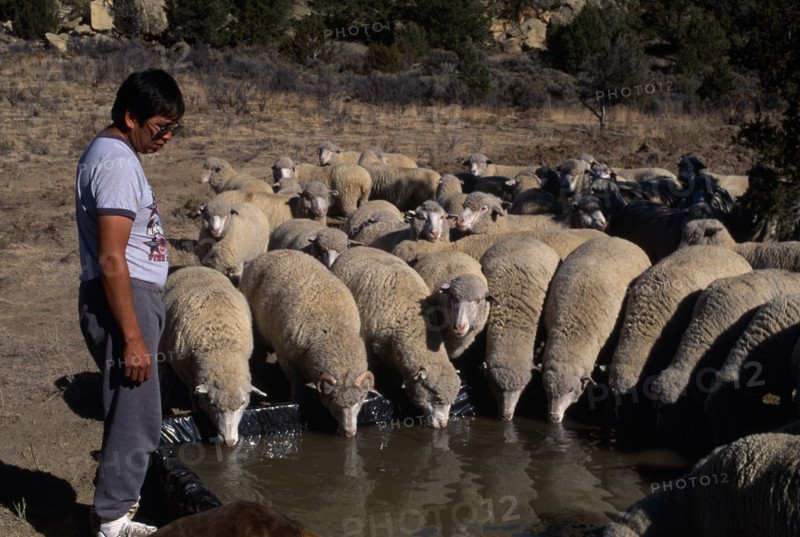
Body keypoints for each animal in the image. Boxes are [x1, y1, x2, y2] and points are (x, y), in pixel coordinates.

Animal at [160, 266, 266, 447]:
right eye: (213, 404)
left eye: (243, 403)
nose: (229, 441)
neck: (221, 351)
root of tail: (193, 267)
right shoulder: (187, 375)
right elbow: (194, 397)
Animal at [239, 250, 373, 437]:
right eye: (334, 401)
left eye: (361, 399)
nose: (350, 433)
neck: (332, 331)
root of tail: (270, 253)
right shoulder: (287, 359)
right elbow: (297, 387)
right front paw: (297, 402)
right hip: (256, 333)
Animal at [704, 293, 800, 445]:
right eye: (710, 418)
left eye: (734, 414)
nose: (719, 444)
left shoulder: (784, 379)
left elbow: (785, 397)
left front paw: (787, 414)